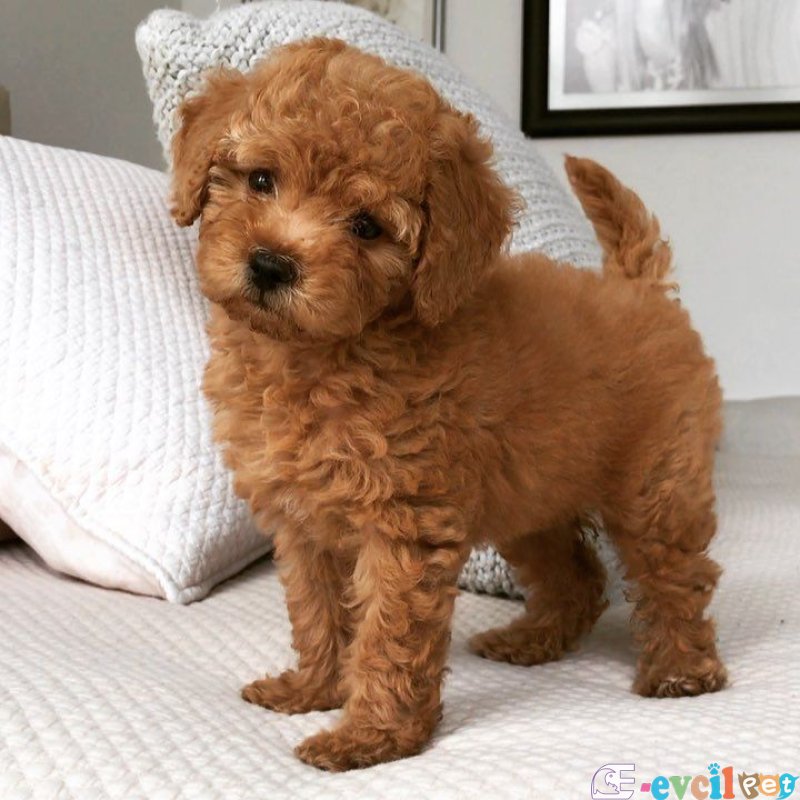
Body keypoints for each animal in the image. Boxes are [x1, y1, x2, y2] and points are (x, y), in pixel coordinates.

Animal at [170, 38, 726, 771]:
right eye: (261, 179)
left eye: (366, 227)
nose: (270, 264)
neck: (316, 356)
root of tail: (641, 289)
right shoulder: (302, 520)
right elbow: (316, 611)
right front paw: (314, 688)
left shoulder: (401, 524)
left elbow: (388, 635)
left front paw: (369, 735)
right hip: (533, 496)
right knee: (578, 574)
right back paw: (531, 640)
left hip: (656, 486)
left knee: (674, 577)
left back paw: (682, 670)